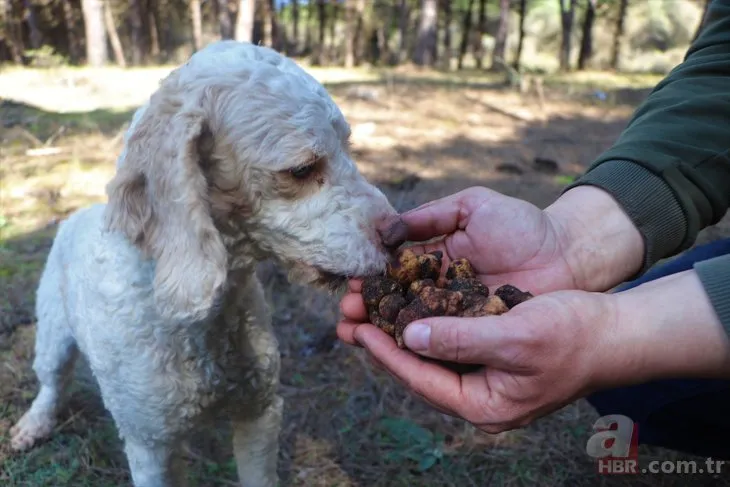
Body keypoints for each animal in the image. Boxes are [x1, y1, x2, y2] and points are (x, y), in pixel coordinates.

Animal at [8, 41, 400, 487]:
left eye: (349, 149)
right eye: (302, 169)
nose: (399, 234)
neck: (207, 321)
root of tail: (77, 214)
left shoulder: (260, 412)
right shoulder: (148, 445)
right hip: (52, 332)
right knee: (51, 382)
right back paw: (33, 424)